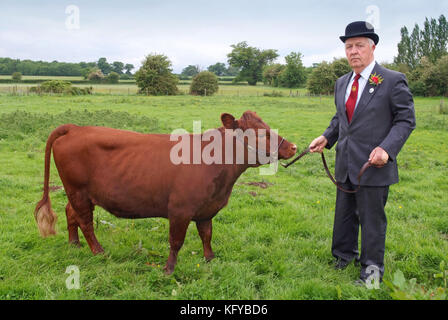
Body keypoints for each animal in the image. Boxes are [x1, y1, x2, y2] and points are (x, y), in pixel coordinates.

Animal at [35, 111, 298, 274]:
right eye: (261, 133)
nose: (293, 147)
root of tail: (75, 128)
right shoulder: (180, 210)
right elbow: (176, 241)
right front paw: (169, 269)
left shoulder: (206, 209)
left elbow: (206, 235)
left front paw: (210, 259)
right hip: (78, 191)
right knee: (86, 222)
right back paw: (99, 252)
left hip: (79, 194)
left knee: (71, 213)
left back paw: (74, 244)